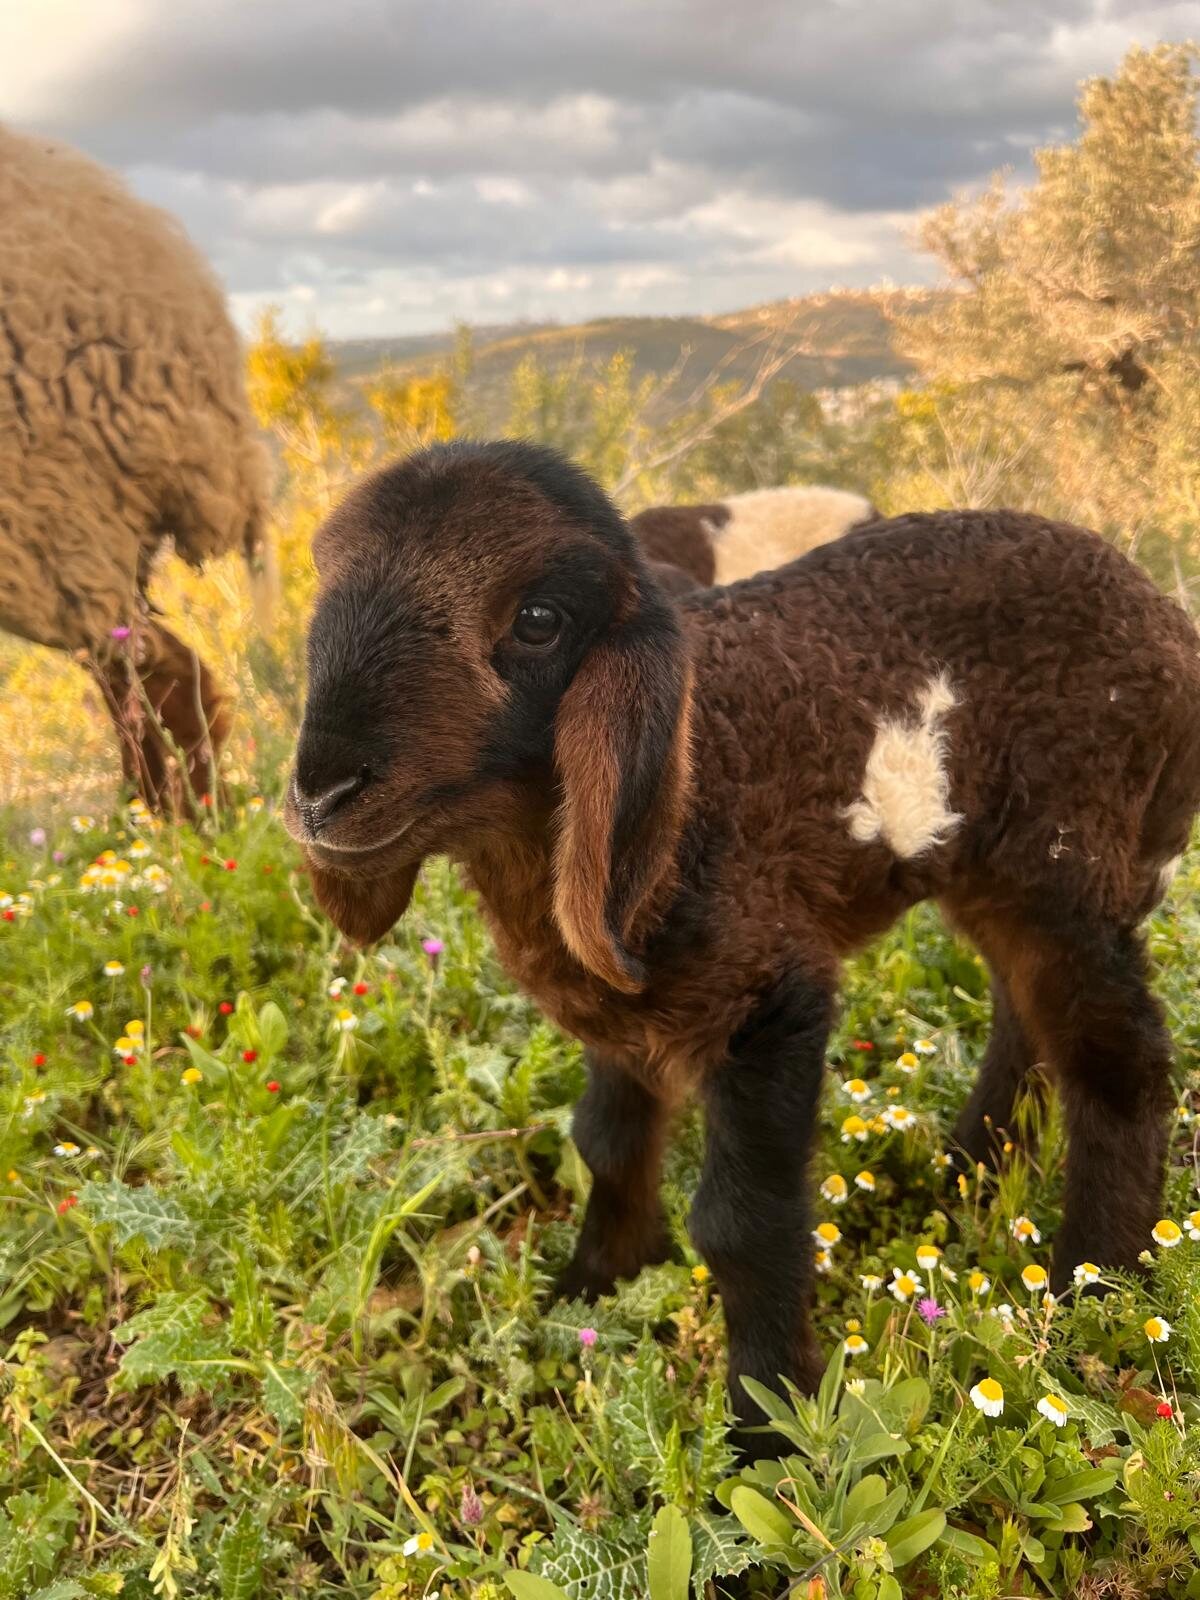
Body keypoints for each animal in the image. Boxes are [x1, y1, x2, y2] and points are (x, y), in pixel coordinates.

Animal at [285, 439, 1200, 1449]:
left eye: (537, 619)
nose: (322, 791)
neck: (695, 776)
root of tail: (1163, 617)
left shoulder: (769, 991)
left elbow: (741, 1223)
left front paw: (769, 1425)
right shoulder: (624, 997)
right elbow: (604, 1141)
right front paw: (589, 1291)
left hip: (1070, 854)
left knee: (1117, 1061)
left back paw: (1093, 1286)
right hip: (993, 866)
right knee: (1023, 1010)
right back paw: (968, 1173)